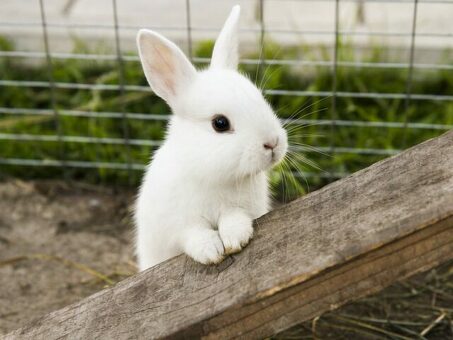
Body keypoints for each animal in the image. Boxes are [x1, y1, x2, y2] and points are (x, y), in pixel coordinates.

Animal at [134, 5, 288, 270]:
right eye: (220, 123)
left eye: (260, 98)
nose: (272, 143)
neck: (214, 176)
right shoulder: (177, 225)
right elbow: (193, 234)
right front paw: (212, 251)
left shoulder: (242, 208)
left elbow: (234, 217)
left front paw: (235, 238)